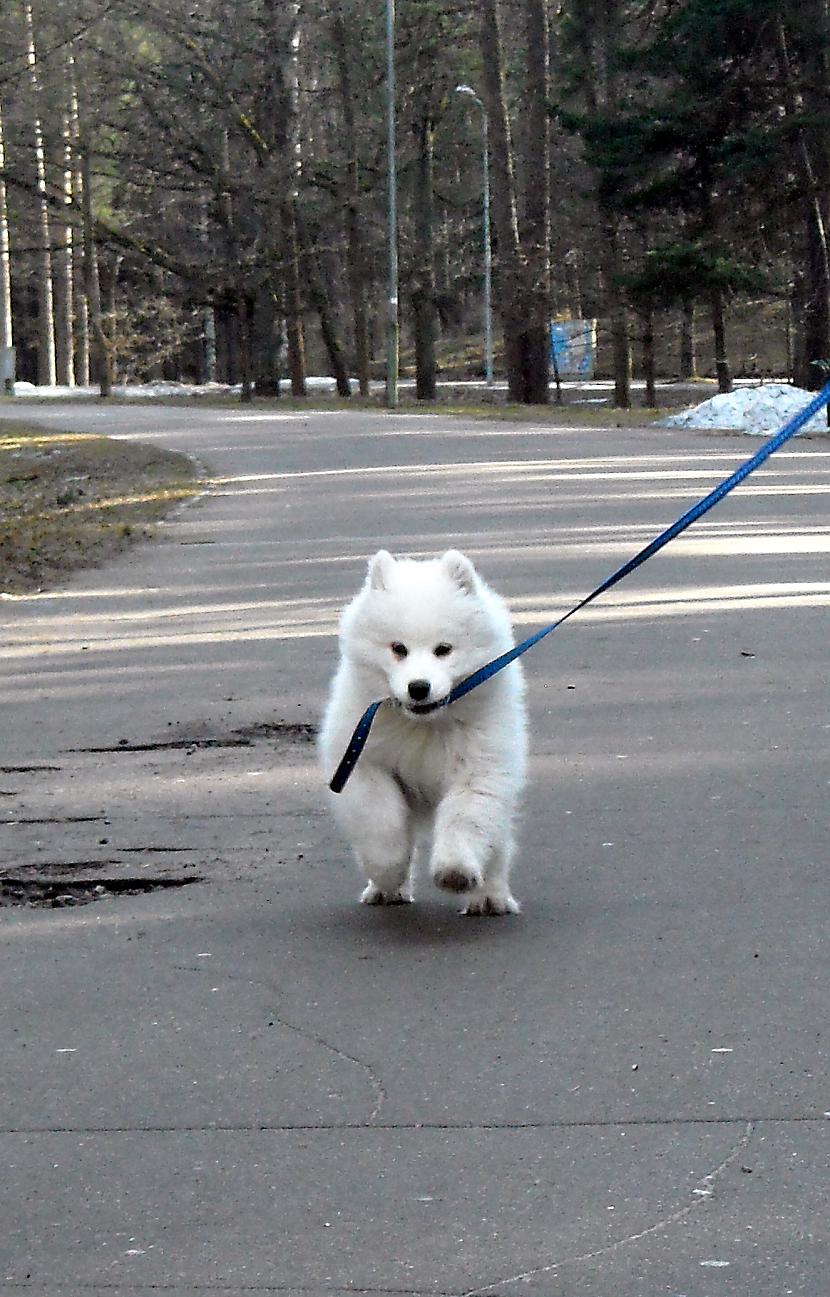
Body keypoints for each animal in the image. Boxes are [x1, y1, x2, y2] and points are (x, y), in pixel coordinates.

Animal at [321, 552, 529, 918]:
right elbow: (381, 817)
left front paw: (455, 872)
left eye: (443, 649)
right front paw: (388, 870)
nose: (418, 687)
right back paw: (384, 890)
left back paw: (490, 897)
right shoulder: (360, 760)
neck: (423, 725)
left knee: (496, 841)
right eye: (398, 648)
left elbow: (464, 816)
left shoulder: (480, 766)